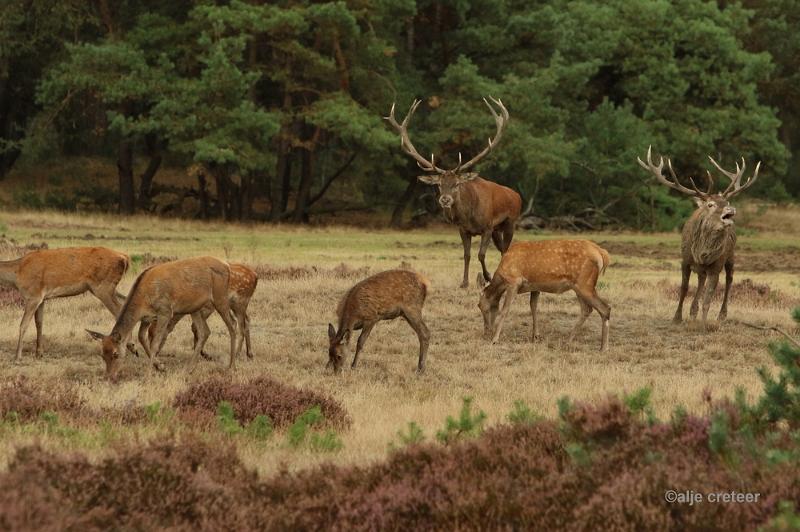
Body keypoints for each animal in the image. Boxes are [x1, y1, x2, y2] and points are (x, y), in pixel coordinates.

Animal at [0, 247, 130, 360]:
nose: (38, 353)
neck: (17, 273)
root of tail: (124, 258)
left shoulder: (33, 296)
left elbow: (23, 325)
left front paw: (17, 357)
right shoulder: (42, 299)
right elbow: (39, 323)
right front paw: (39, 353)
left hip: (103, 287)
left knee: (119, 311)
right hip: (109, 288)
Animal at [88, 256, 239, 378]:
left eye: (116, 354)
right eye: (102, 354)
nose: (108, 376)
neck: (143, 300)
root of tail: (226, 266)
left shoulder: (165, 311)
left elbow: (155, 343)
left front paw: (148, 373)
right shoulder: (146, 318)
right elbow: (142, 338)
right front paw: (160, 367)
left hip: (220, 298)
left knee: (232, 324)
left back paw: (231, 366)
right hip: (194, 308)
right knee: (205, 331)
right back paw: (189, 369)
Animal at [388, 95, 524, 286]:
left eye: (457, 184)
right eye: (439, 184)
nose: (445, 199)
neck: (469, 216)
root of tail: (517, 195)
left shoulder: (488, 227)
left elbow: (481, 254)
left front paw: (487, 277)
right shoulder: (463, 229)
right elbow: (467, 255)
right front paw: (464, 283)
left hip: (510, 221)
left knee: (506, 250)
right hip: (498, 230)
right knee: (502, 250)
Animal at [476, 240, 612, 350]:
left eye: (481, 306)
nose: (486, 332)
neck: (502, 278)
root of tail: (602, 253)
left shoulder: (514, 282)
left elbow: (505, 310)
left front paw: (495, 339)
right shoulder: (535, 287)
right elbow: (533, 307)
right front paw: (535, 336)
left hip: (585, 283)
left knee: (605, 308)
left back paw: (603, 348)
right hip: (578, 287)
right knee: (587, 309)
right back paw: (568, 341)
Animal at [636, 147, 764, 328]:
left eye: (726, 202)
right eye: (710, 204)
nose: (731, 209)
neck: (701, 253)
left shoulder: (716, 265)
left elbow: (708, 298)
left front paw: (703, 324)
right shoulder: (685, 260)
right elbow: (684, 288)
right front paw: (677, 317)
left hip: (731, 255)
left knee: (729, 279)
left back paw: (721, 315)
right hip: (702, 266)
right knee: (701, 280)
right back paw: (692, 311)